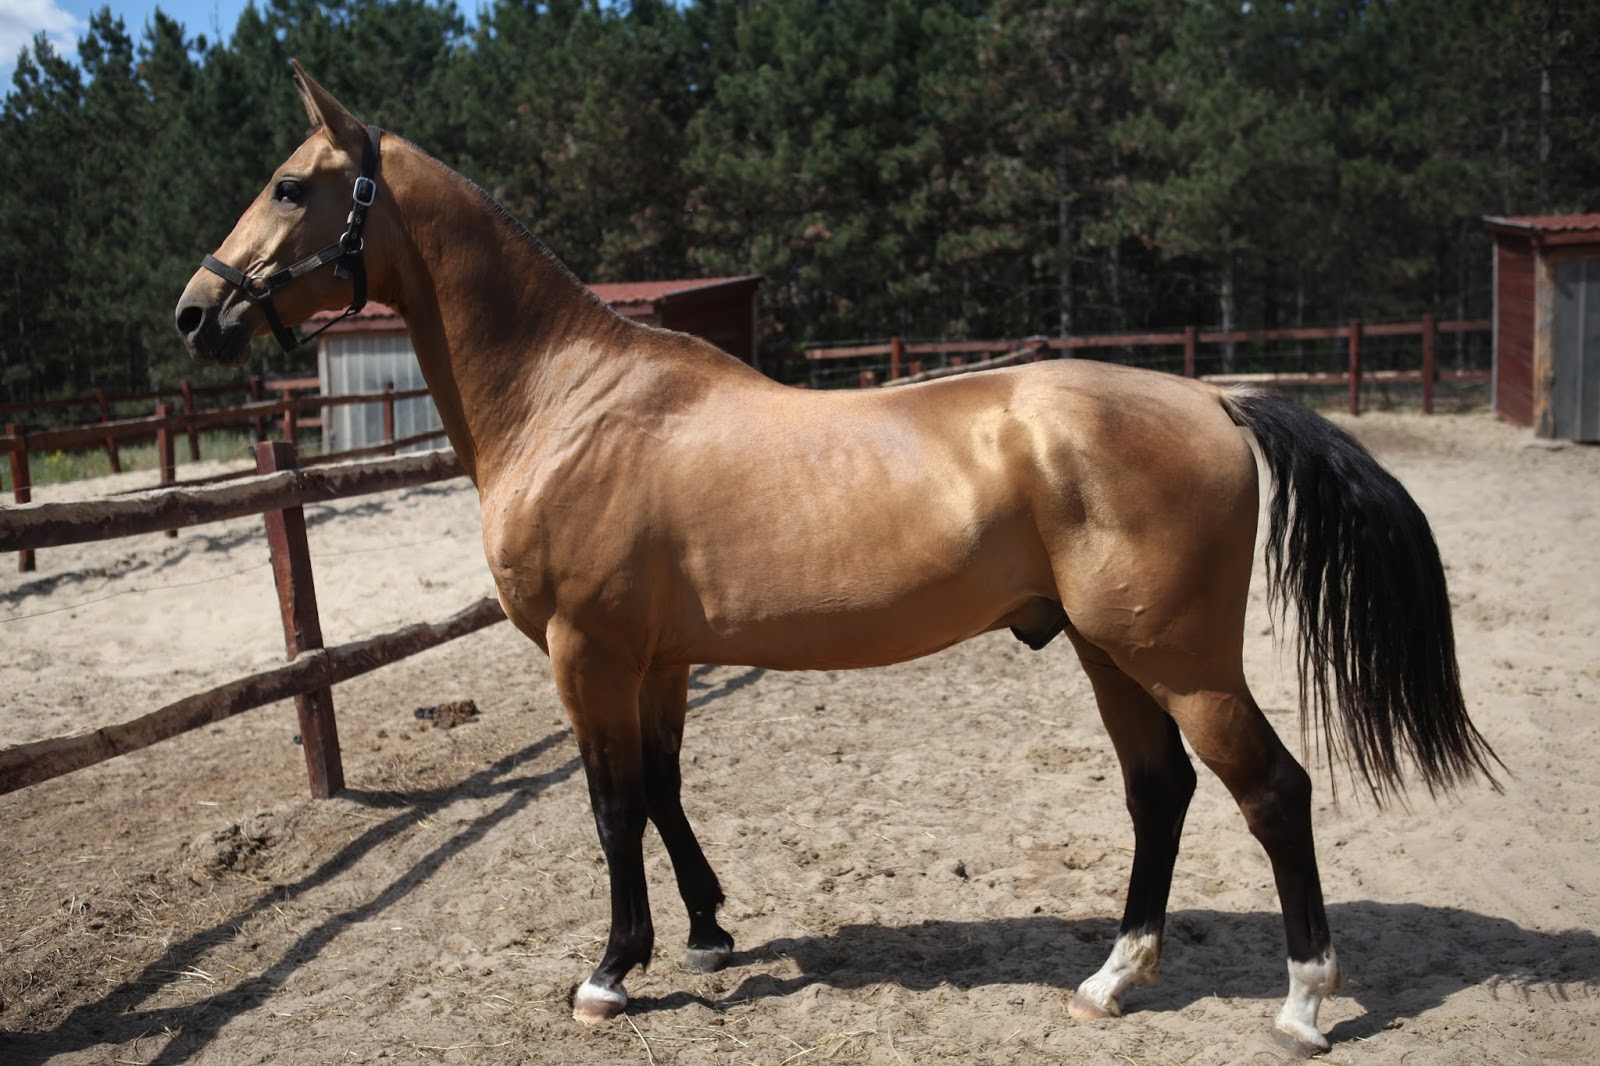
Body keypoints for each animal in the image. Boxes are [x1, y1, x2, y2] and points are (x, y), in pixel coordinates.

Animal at [174, 64, 1500, 1053]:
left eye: (291, 184)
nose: (197, 311)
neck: (572, 400)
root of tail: (1216, 400)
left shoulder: (587, 653)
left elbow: (610, 805)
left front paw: (612, 969)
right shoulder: (657, 658)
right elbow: (663, 788)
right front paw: (707, 929)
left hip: (1176, 658)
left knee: (1269, 790)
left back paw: (1302, 1002)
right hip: (1106, 650)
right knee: (1158, 789)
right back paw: (1113, 978)